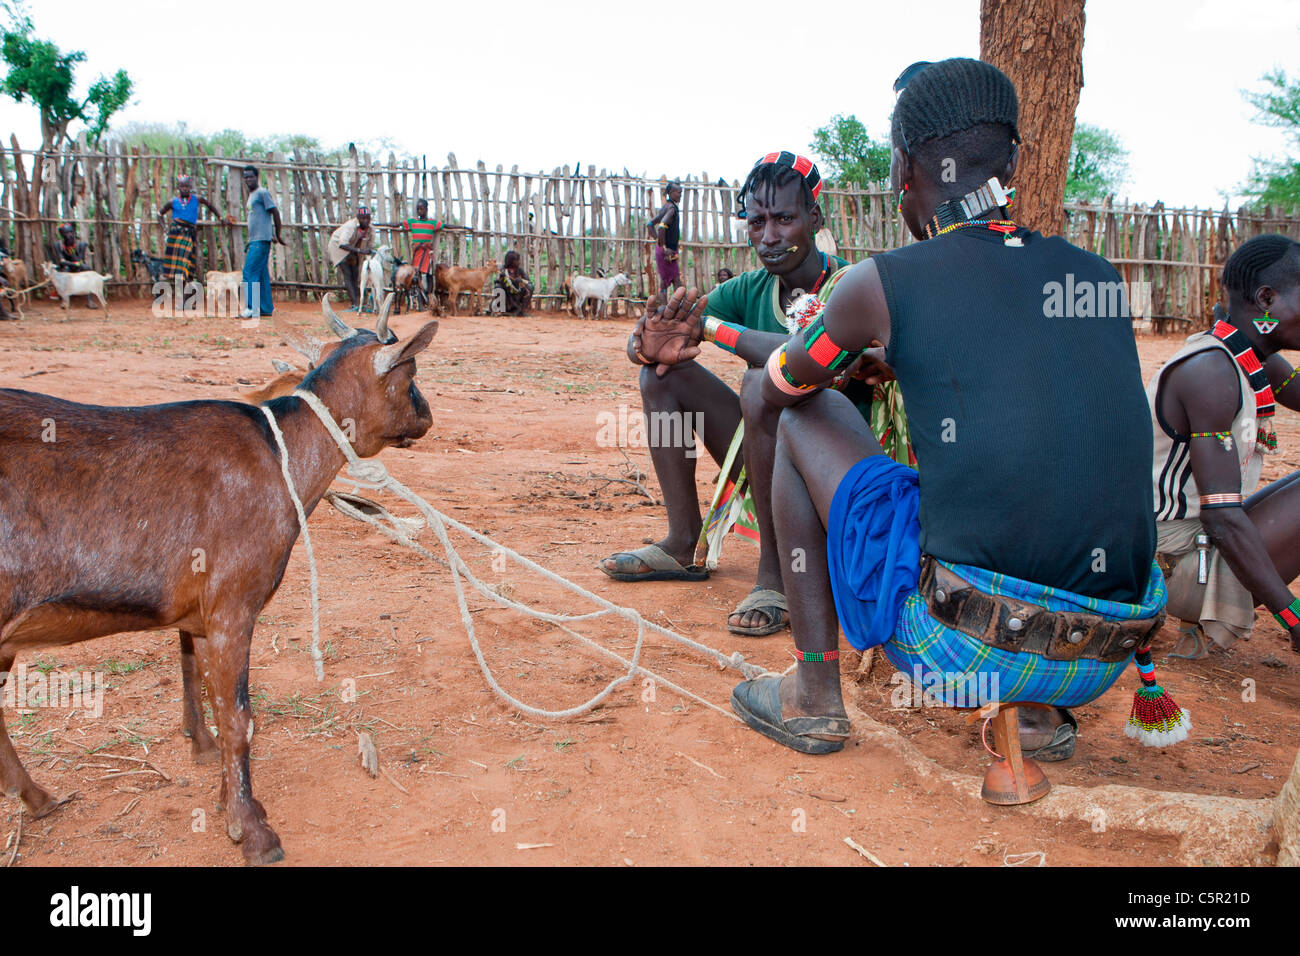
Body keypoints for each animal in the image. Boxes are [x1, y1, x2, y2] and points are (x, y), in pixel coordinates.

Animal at [0, 293, 436, 868]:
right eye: (410, 371)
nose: (427, 415)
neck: (280, 455)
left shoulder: (203, 617)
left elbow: (213, 698)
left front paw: (231, 801)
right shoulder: (233, 606)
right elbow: (239, 718)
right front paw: (253, 832)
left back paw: (37, 797)